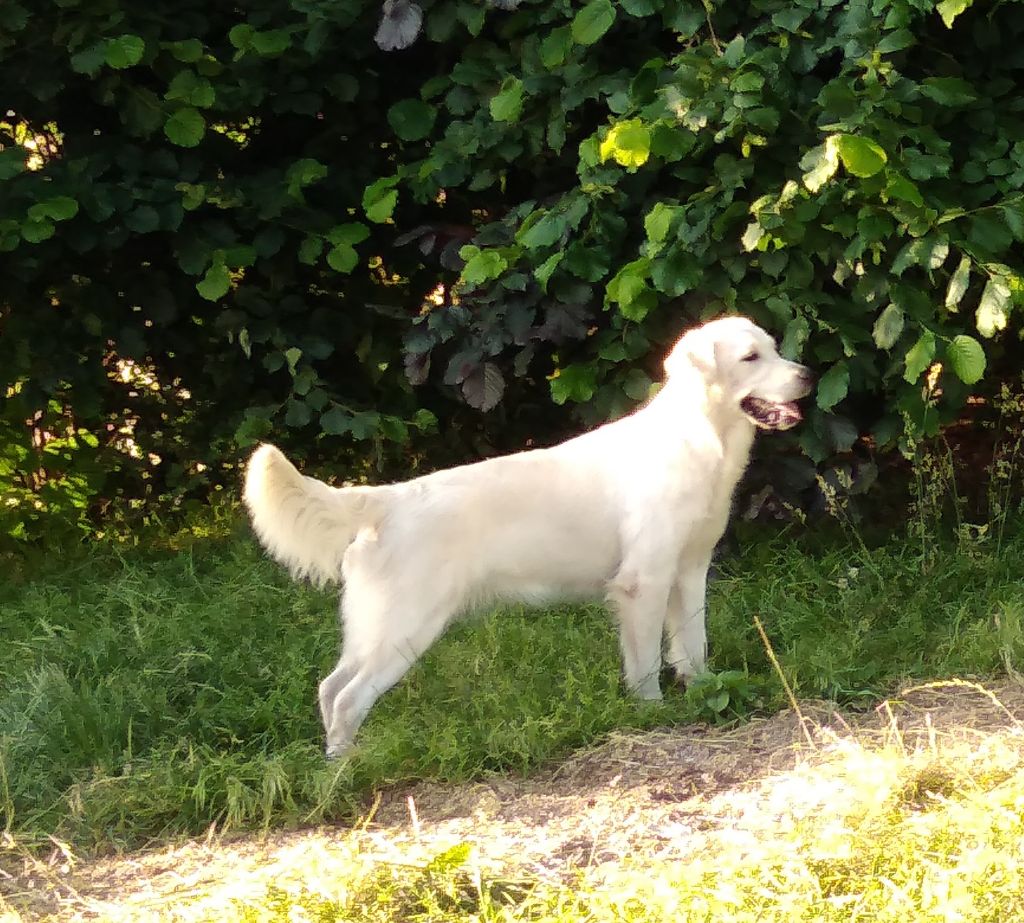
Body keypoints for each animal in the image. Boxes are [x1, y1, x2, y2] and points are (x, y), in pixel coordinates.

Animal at [243, 317, 811, 758]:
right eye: (750, 357)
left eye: (775, 347)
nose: (806, 375)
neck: (702, 440)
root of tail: (389, 498)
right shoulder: (642, 581)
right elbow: (647, 662)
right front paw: (651, 713)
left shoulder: (690, 571)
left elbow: (692, 647)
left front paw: (704, 693)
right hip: (404, 628)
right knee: (347, 697)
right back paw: (348, 767)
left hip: (375, 628)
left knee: (329, 687)